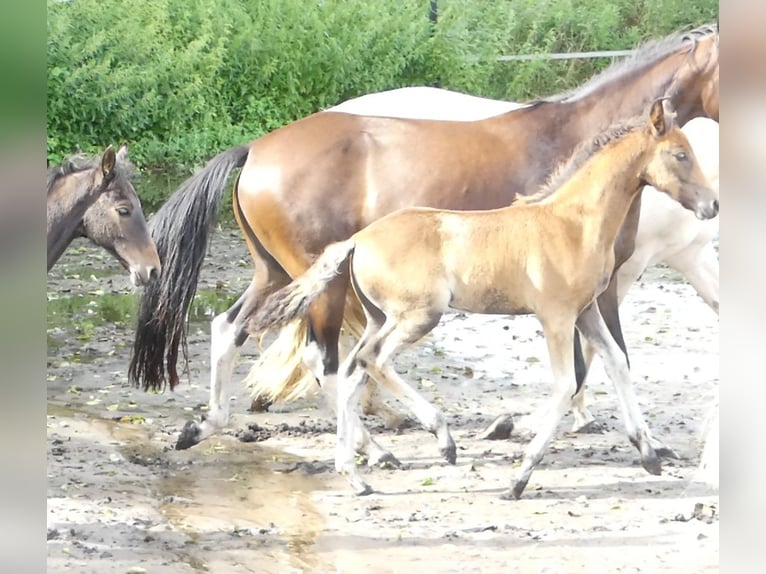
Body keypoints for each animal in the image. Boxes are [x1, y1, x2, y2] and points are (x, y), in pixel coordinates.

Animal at [250, 102, 720, 500]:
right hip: (418, 315)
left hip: (379, 317)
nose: (712, 205)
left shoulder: (585, 311)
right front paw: (519, 478)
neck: (572, 223)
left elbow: (617, 362)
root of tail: (358, 239)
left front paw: (649, 454)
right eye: (680, 155)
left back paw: (357, 475)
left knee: (351, 369)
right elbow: (566, 384)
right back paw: (442, 440)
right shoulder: (556, 316)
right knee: (373, 361)